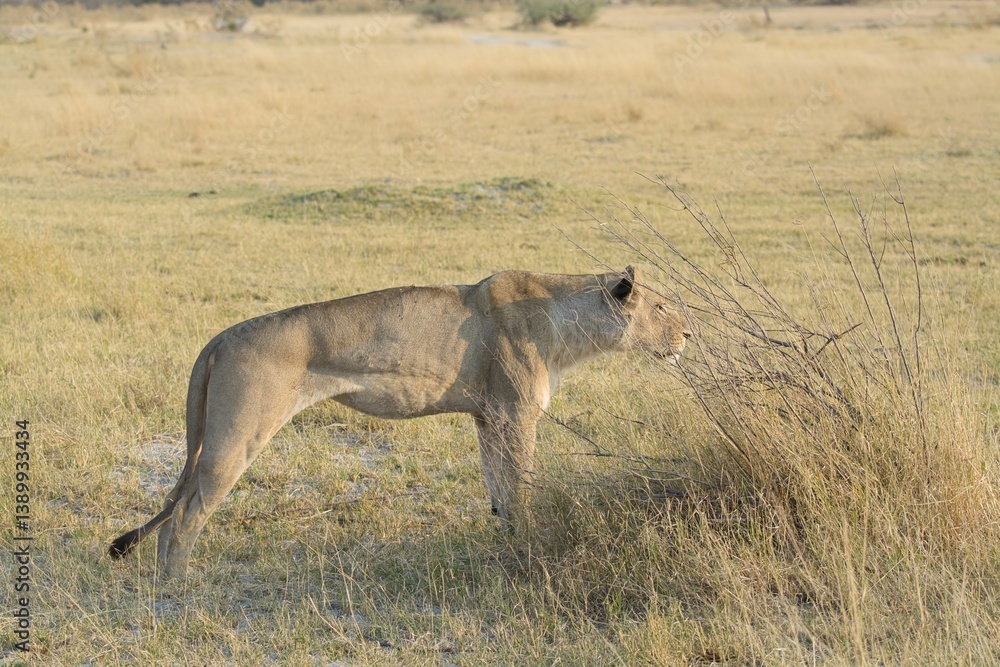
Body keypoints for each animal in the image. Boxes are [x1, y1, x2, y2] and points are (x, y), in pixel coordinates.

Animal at [109, 266, 691, 578]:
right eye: (663, 307)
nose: (688, 334)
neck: (565, 322)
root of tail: (219, 338)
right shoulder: (515, 415)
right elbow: (521, 488)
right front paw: (527, 548)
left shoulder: (488, 418)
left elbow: (499, 492)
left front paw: (505, 542)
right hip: (239, 432)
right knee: (187, 513)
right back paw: (178, 584)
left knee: (177, 505)